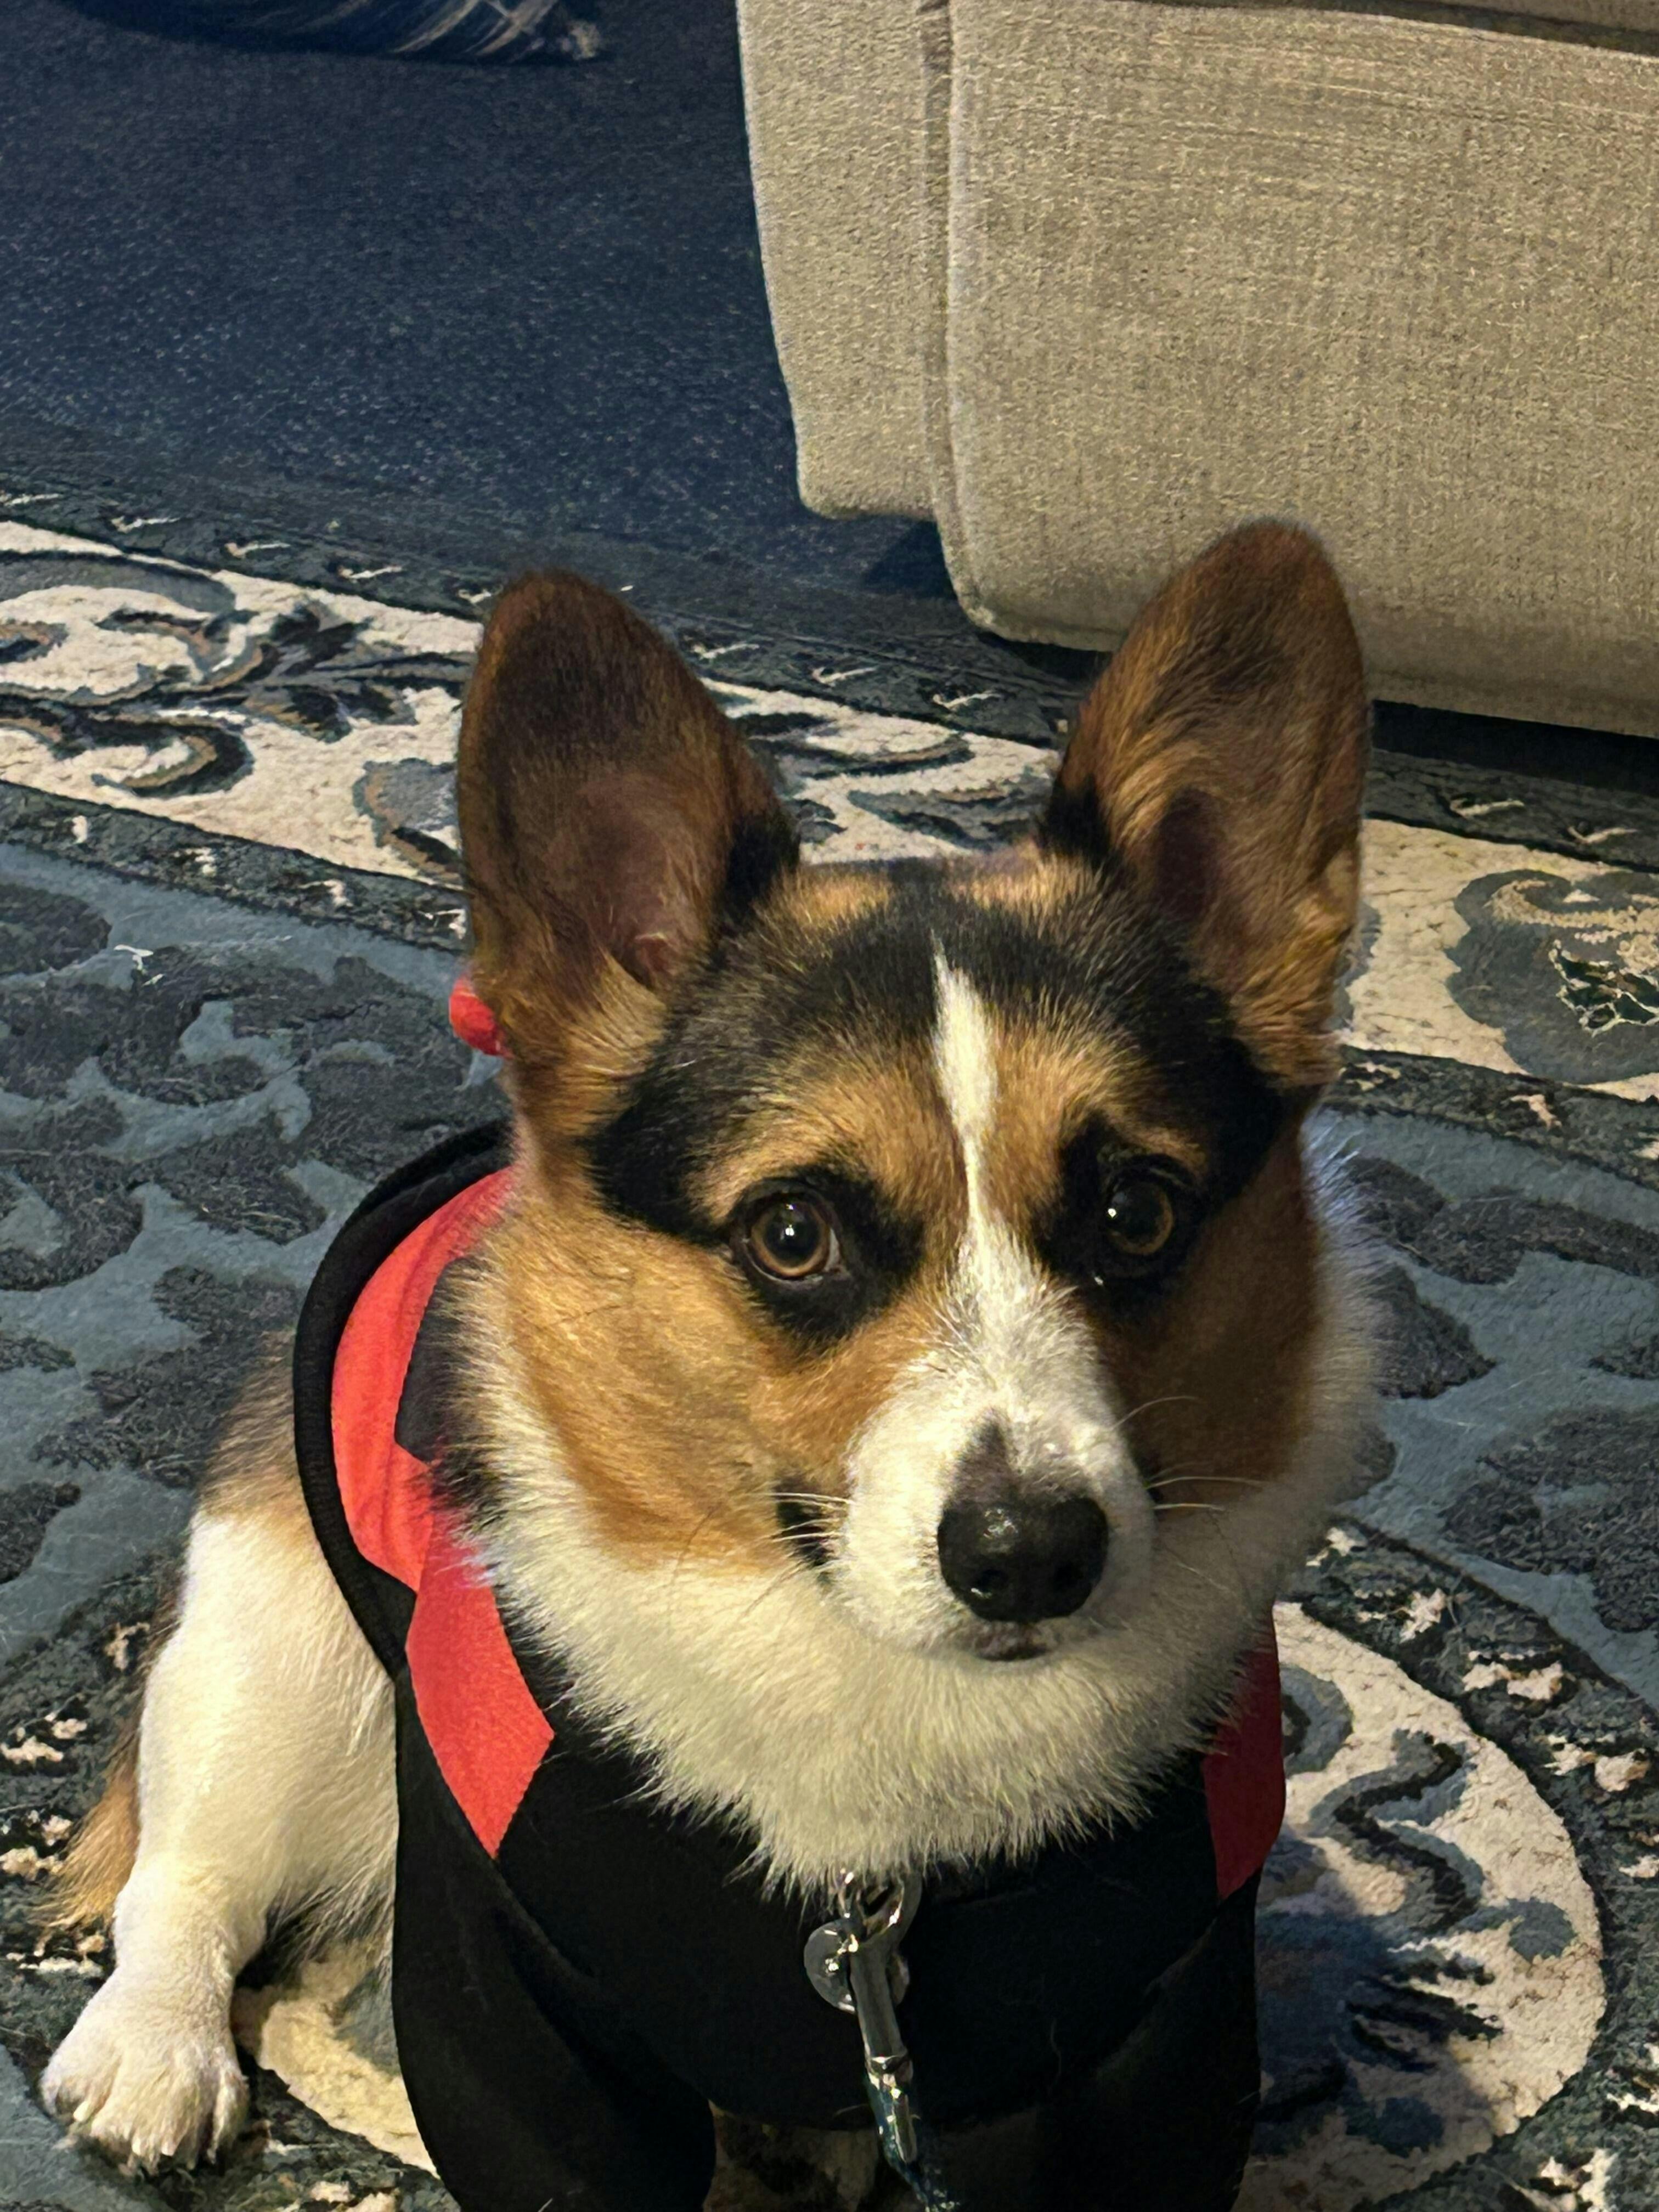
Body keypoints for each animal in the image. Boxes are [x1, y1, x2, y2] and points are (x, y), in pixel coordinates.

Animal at [39, 519, 1376, 2212]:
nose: (1031, 1555)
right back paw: (152, 2052)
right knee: (184, 1871)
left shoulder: (1149, 2035)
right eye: (794, 1235)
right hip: (272, 1650)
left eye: (1137, 1211)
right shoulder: (513, 2001)